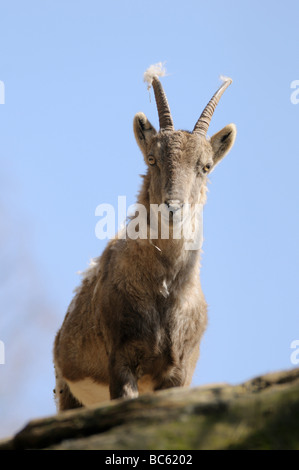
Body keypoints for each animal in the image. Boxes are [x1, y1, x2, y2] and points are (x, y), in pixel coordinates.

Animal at [53, 63, 237, 412]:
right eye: (152, 159)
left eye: (205, 167)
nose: (173, 208)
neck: (165, 290)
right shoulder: (122, 359)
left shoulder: (179, 372)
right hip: (66, 393)